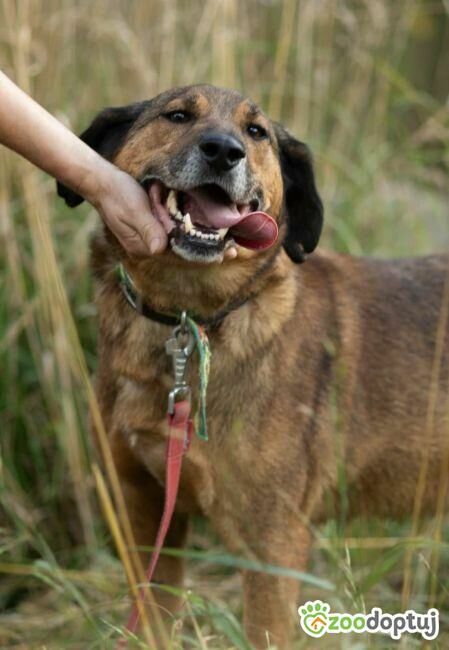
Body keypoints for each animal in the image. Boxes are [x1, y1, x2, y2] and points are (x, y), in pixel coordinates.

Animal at [57, 84, 449, 648]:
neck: (189, 319)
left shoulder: (273, 545)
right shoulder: (143, 514)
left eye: (256, 132)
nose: (224, 152)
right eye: (177, 115)